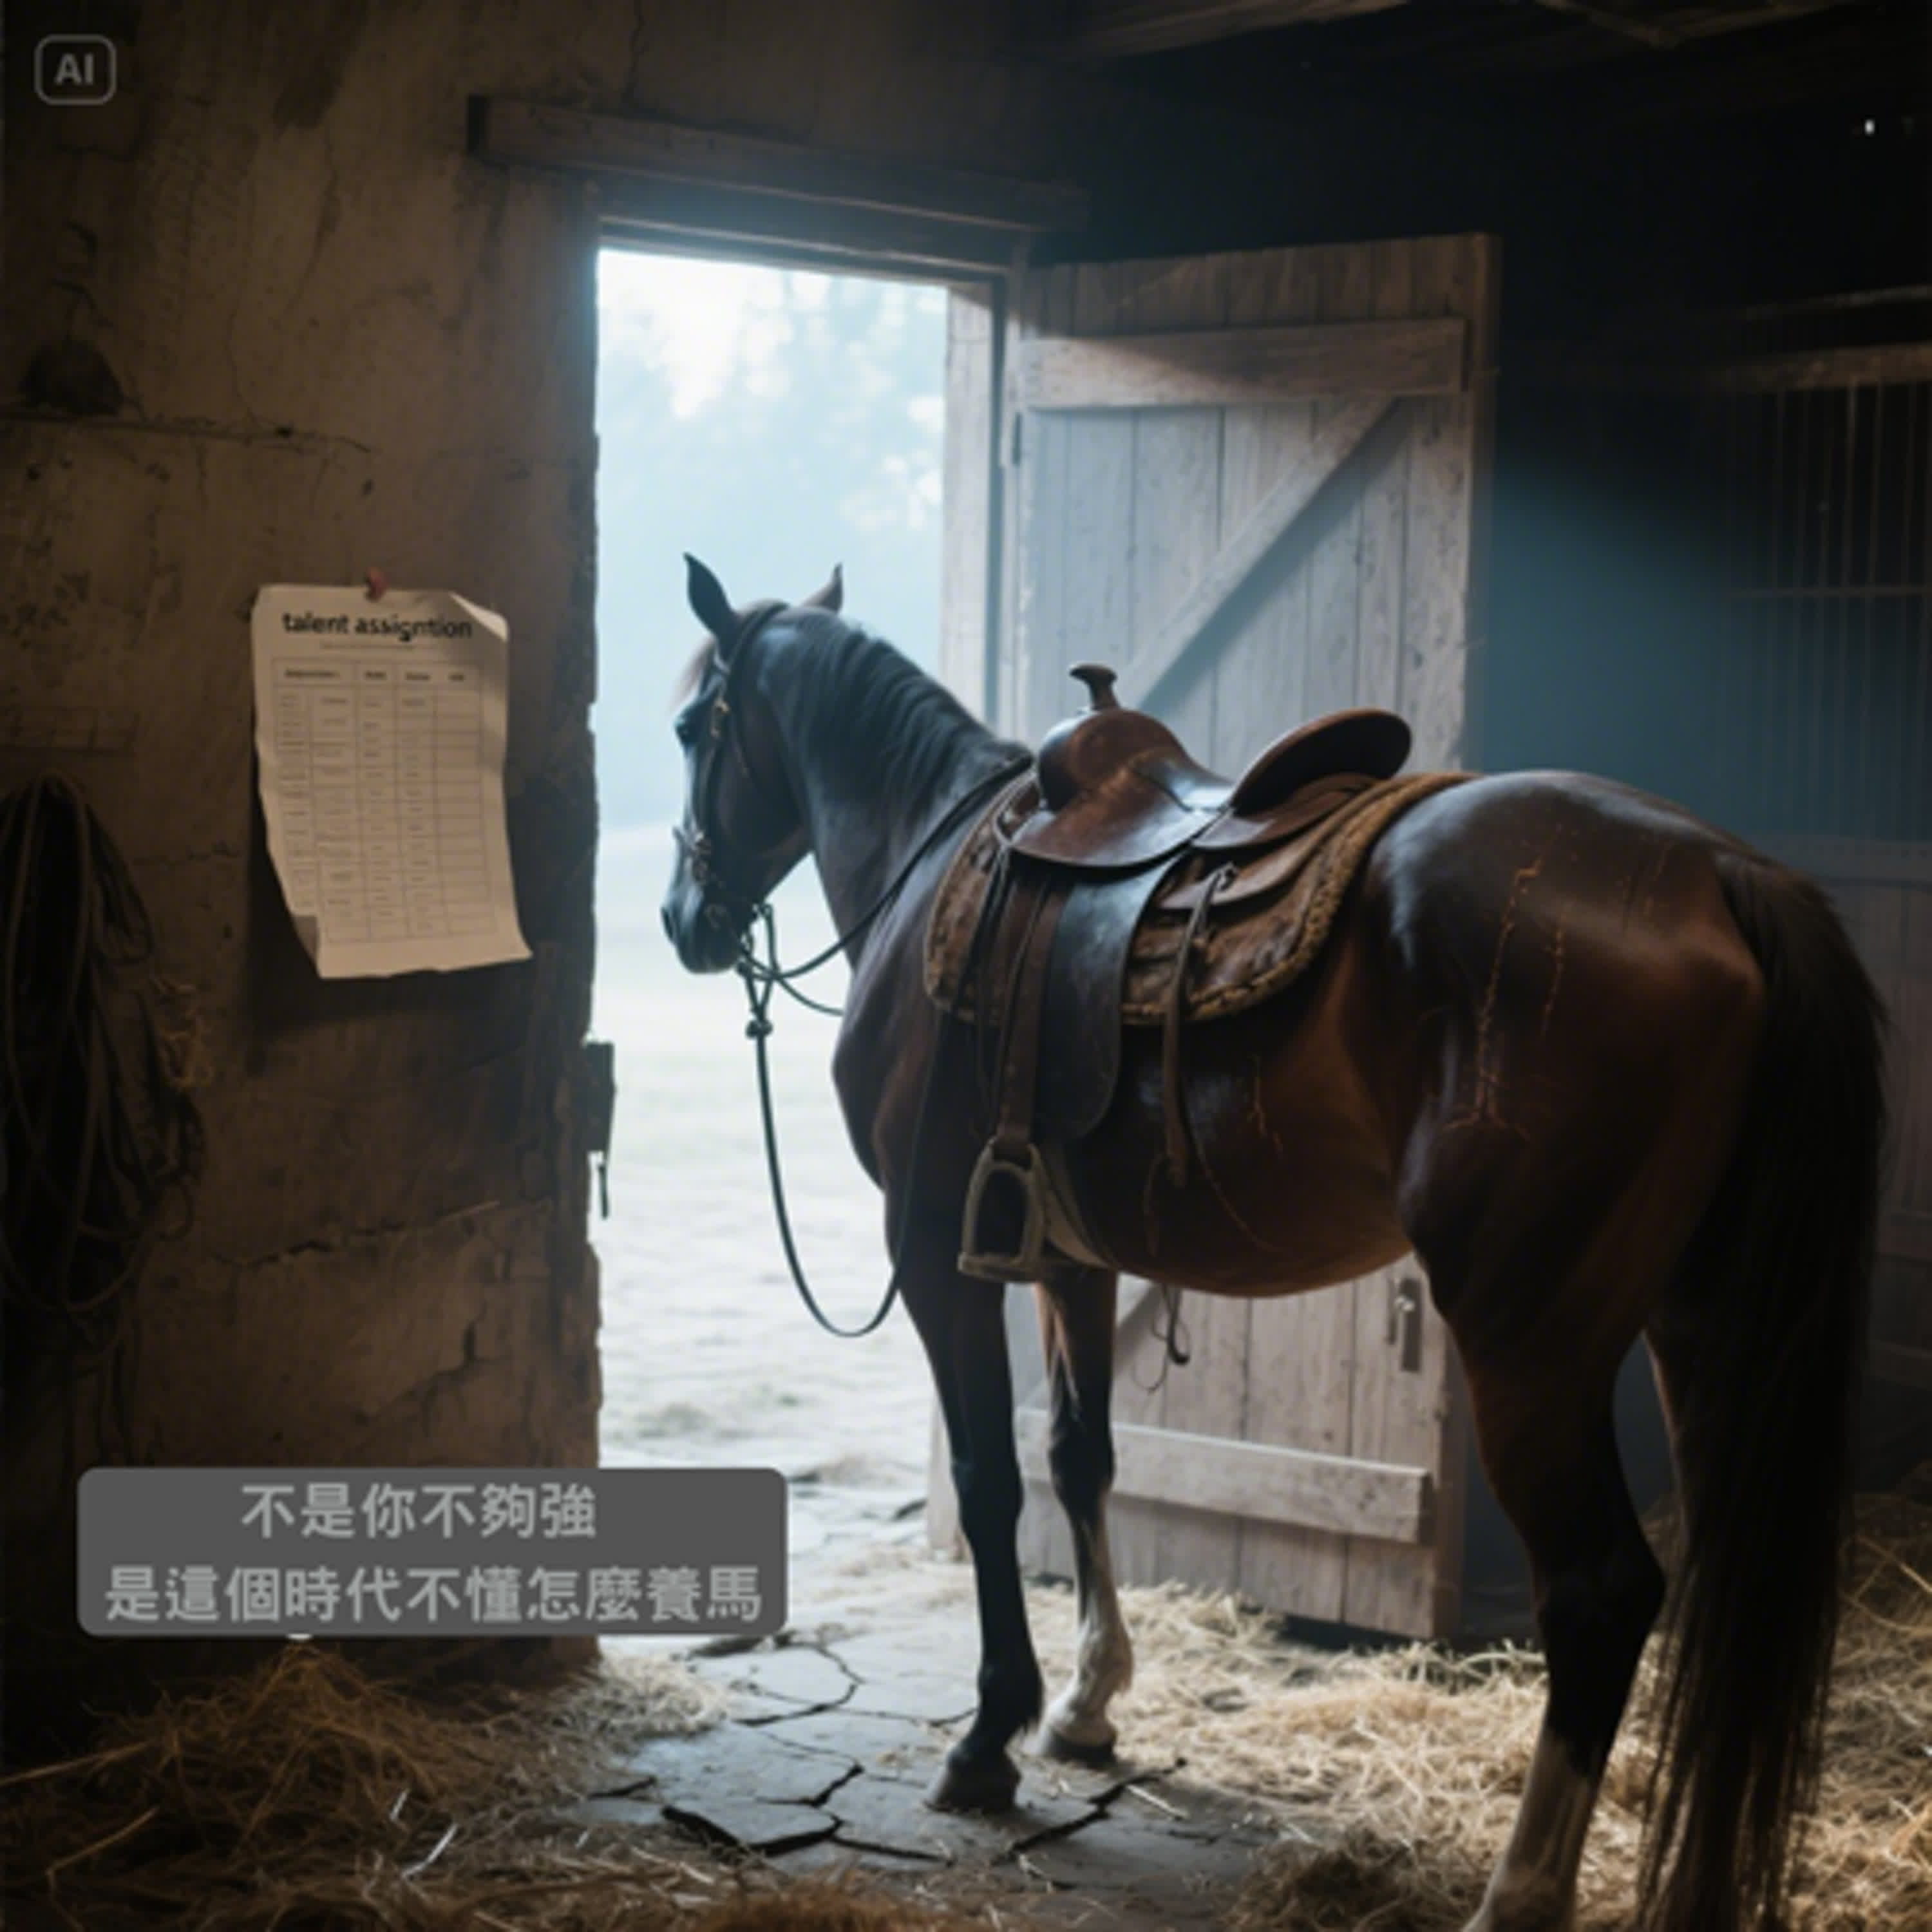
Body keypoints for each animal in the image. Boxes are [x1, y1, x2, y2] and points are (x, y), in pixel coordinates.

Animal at [657, 556, 1885, 1932]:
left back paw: (1519, 1891)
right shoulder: (1072, 1259)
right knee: (1733, 1588)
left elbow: (987, 1481)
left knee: (1602, 1589)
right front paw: (1086, 1705)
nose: (682, 917)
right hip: (1703, 1326)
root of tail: (1723, 876)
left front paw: (989, 1738)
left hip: (1531, 1341)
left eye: (690, 728)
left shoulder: (933, 1257)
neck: (939, 858)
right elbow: (1080, 1455)